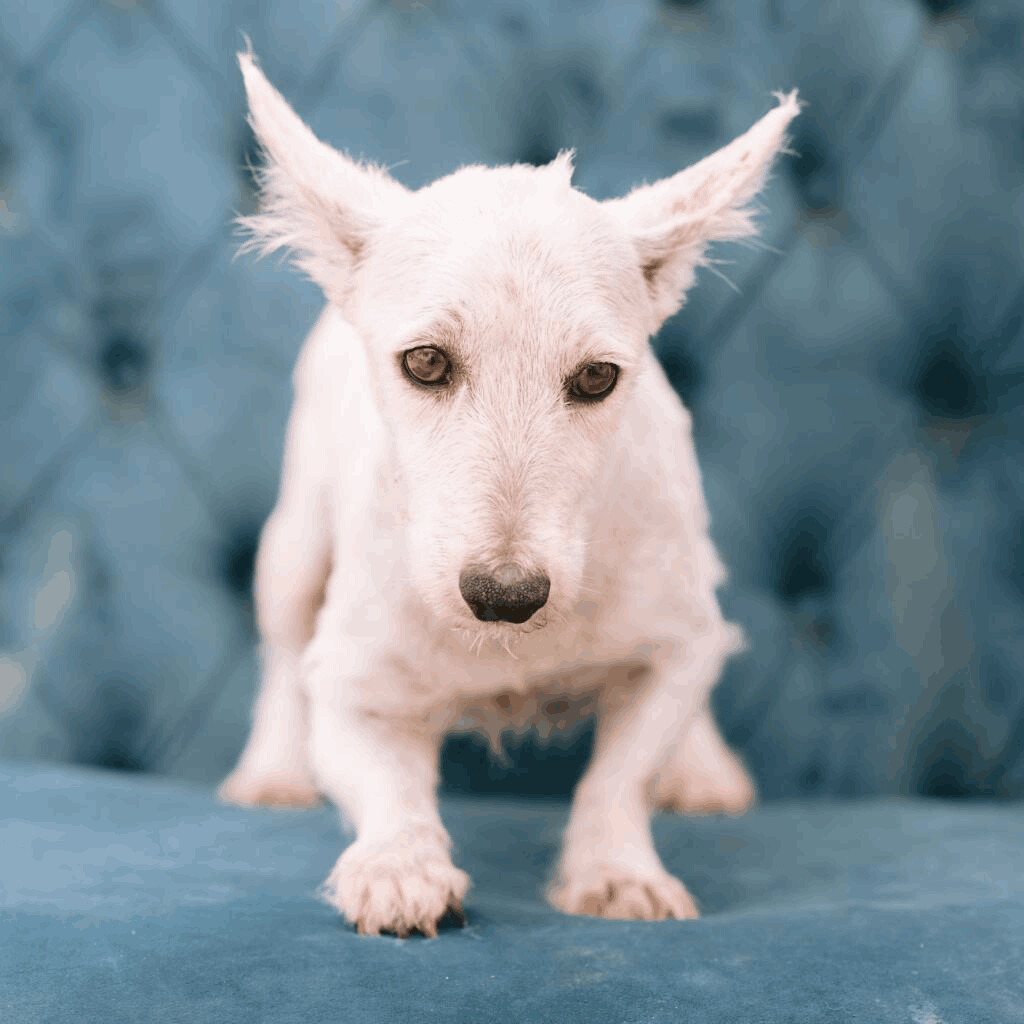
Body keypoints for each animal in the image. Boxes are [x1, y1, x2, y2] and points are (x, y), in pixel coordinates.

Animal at [218, 51, 798, 937]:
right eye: (425, 362)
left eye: (597, 377)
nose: (505, 595)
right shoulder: (350, 683)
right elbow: (383, 782)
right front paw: (398, 869)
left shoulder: (674, 649)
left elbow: (622, 772)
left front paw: (617, 871)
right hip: (294, 543)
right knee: (282, 650)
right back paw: (272, 769)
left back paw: (702, 768)